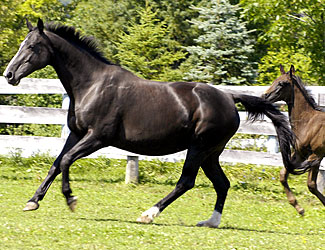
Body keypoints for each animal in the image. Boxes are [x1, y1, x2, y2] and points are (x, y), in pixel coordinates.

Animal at [2, 18, 294, 228]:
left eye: (31, 46)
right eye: (22, 44)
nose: (9, 75)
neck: (92, 85)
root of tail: (229, 97)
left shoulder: (97, 138)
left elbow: (65, 161)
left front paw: (71, 200)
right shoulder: (76, 134)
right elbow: (55, 163)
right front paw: (32, 202)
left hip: (199, 148)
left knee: (186, 182)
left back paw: (148, 214)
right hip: (212, 153)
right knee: (222, 184)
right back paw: (210, 222)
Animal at [264, 65, 324, 215]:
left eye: (282, 83)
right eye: (274, 80)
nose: (264, 96)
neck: (308, 122)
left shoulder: (316, 155)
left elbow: (311, 185)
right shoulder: (299, 154)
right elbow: (282, 175)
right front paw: (298, 207)